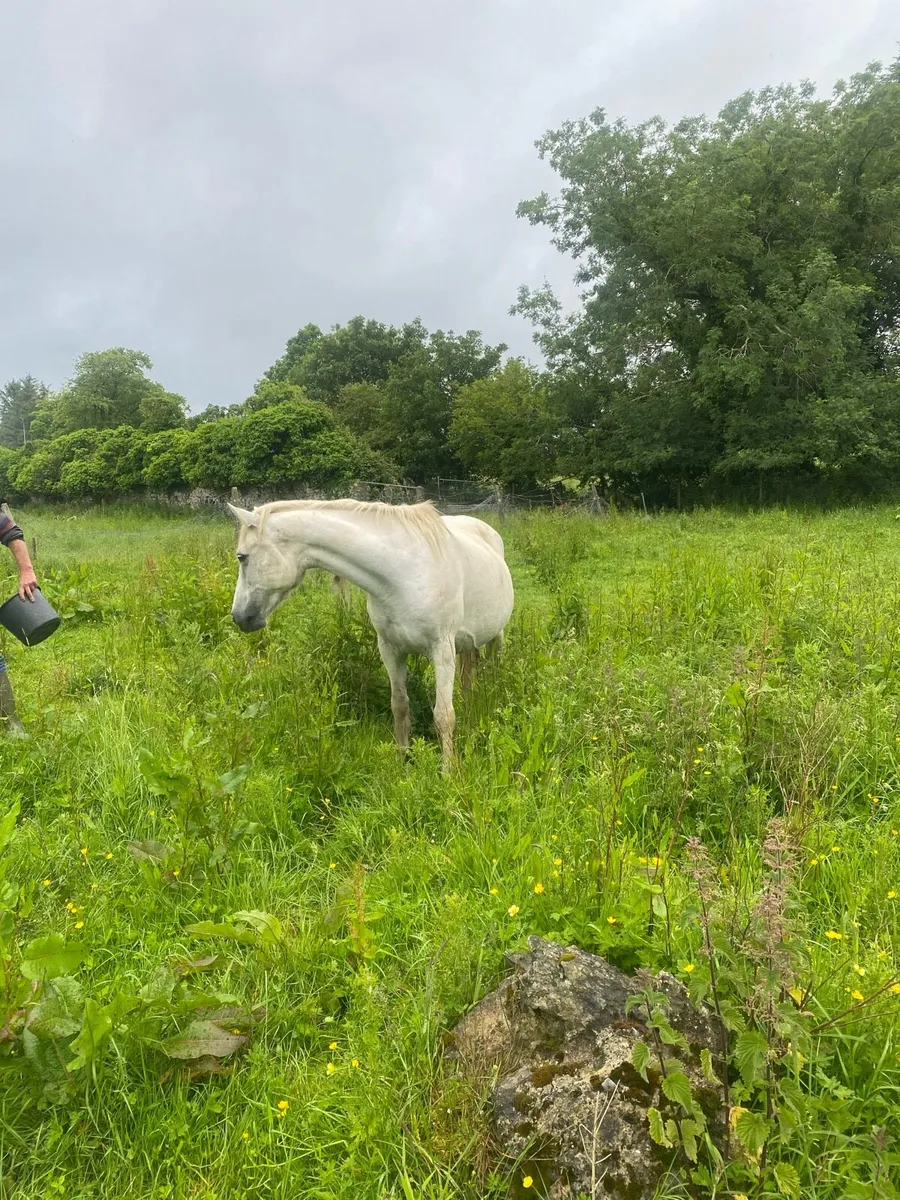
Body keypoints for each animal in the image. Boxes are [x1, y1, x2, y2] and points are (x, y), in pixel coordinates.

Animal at [227, 499, 514, 772]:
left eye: (242, 556)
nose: (239, 616)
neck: (402, 574)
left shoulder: (441, 650)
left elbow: (443, 715)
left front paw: (448, 772)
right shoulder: (390, 649)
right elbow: (400, 706)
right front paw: (402, 760)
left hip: (495, 636)